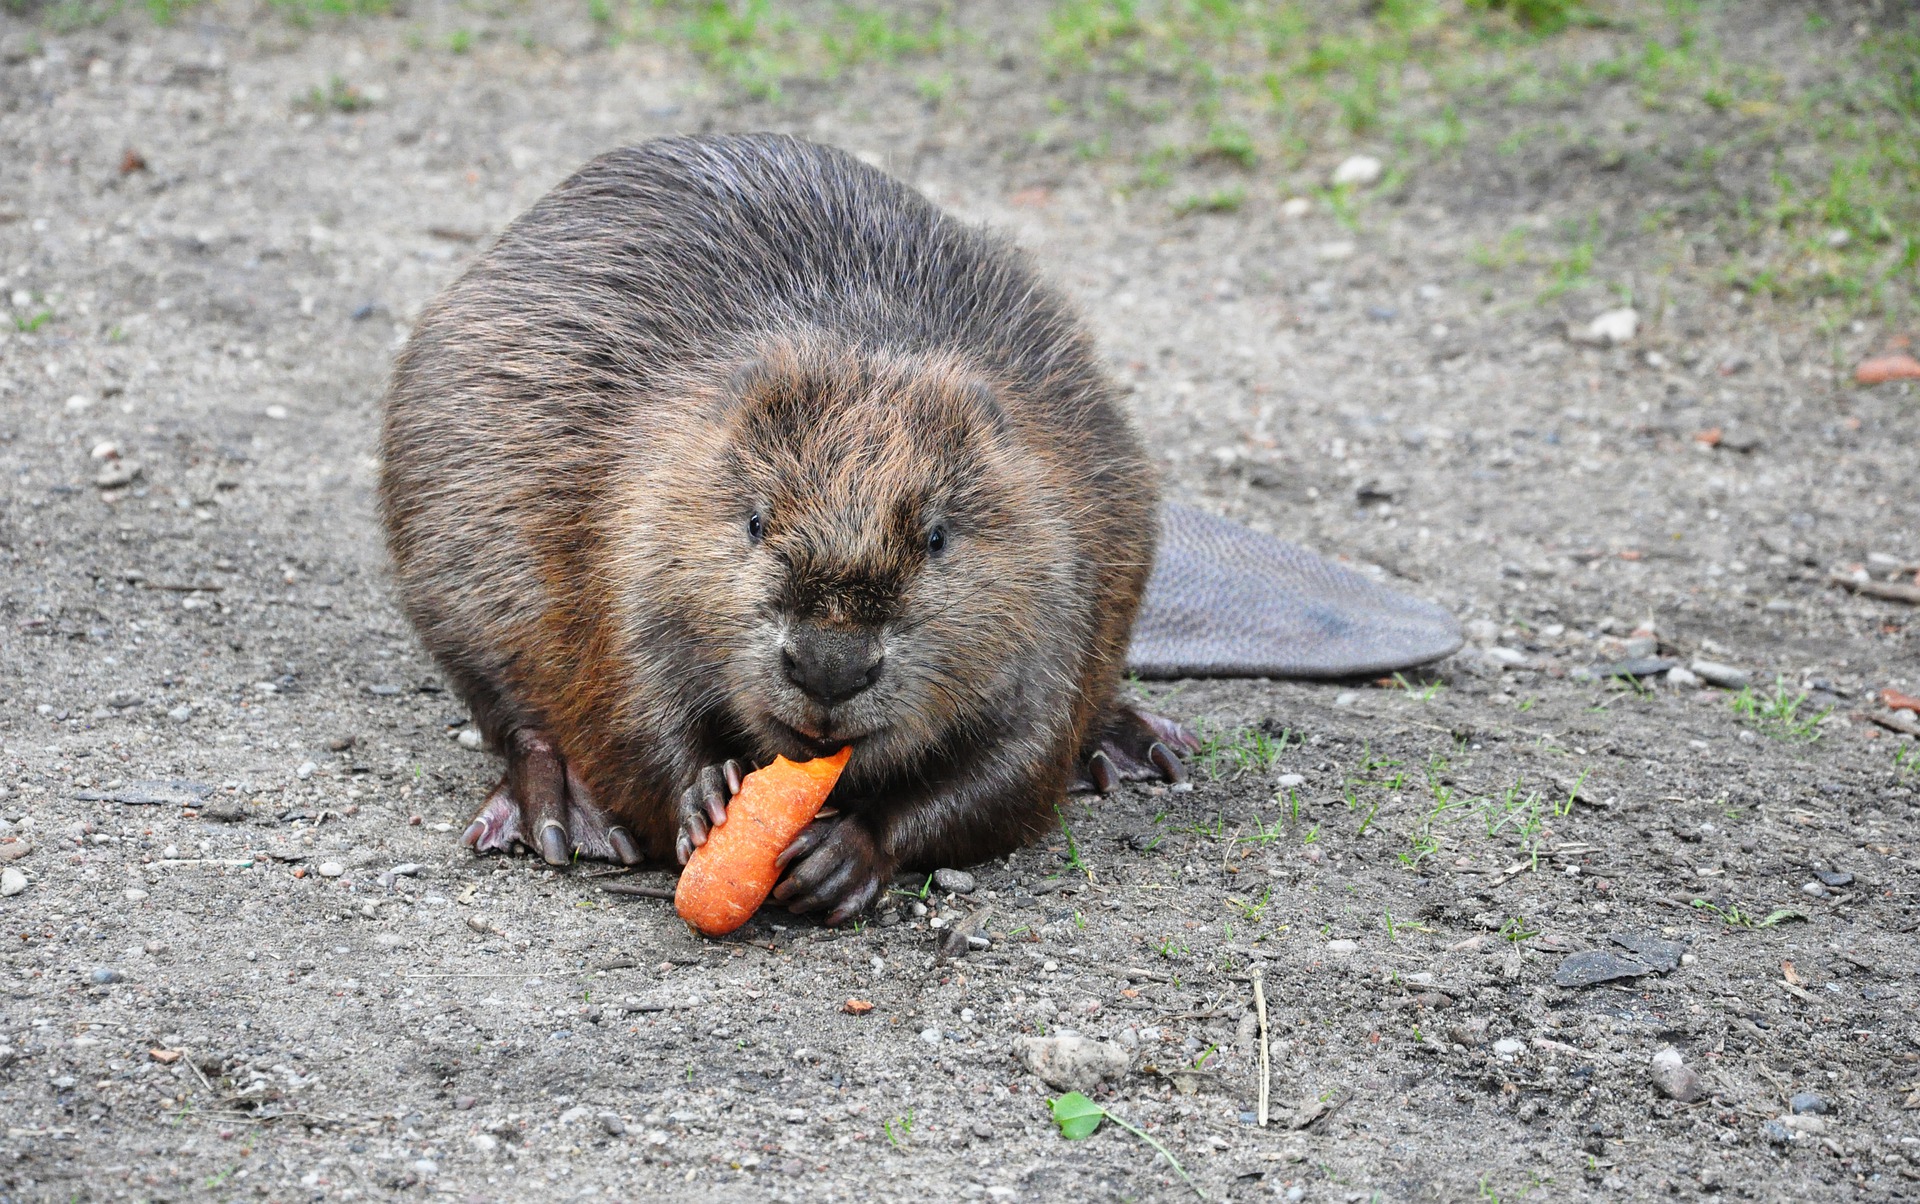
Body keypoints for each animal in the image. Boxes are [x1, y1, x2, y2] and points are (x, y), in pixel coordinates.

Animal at [380, 134, 1190, 921]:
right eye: (754, 519)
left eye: (936, 536)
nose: (830, 669)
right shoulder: (625, 539)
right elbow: (628, 713)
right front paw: (706, 798)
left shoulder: (1062, 570)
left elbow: (1018, 767)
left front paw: (843, 856)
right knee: (510, 711)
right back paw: (556, 813)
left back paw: (1138, 747)